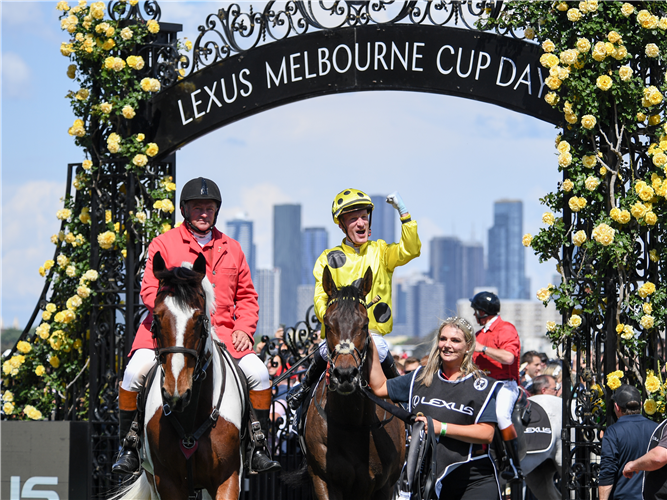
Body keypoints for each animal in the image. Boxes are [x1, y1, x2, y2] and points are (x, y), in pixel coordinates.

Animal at [113, 254, 247, 500]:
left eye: (199, 318)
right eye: (156, 318)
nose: (176, 393)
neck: (190, 414)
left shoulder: (228, 479)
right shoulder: (166, 482)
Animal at [304, 266, 408, 500]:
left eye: (365, 323)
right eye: (327, 323)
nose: (345, 374)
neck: (352, 421)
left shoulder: (383, 485)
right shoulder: (322, 479)